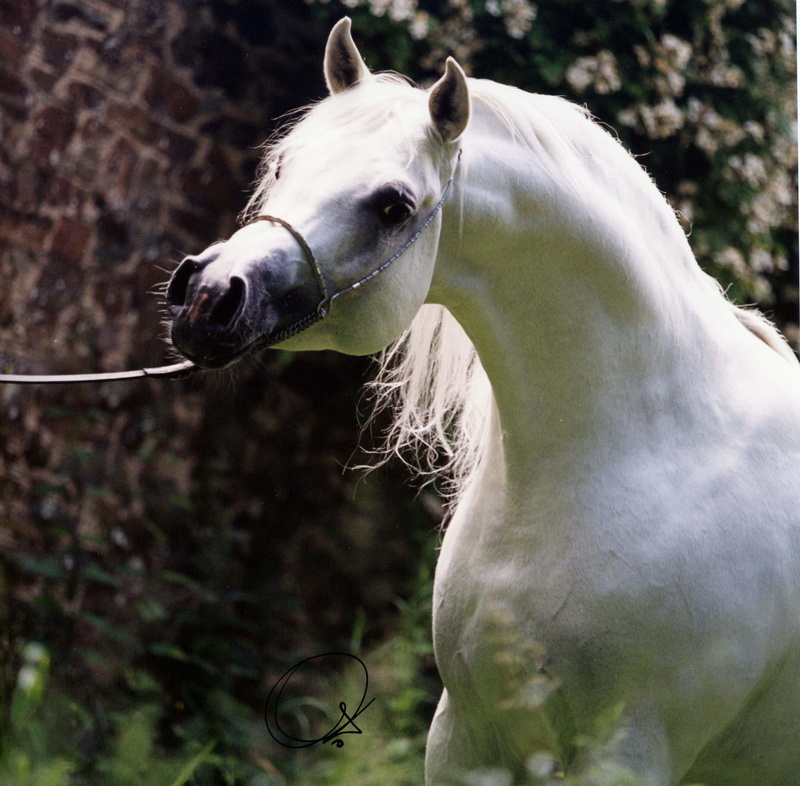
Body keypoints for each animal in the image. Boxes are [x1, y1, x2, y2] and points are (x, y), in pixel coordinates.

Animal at [166, 18, 800, 786]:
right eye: (286, 165)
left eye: (392, 206)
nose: (208, 297)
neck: (647, 449)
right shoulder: (468, 736)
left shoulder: (626, 754)